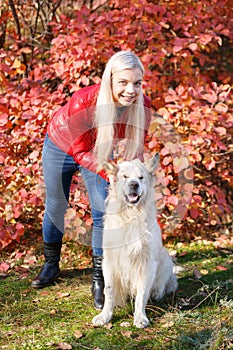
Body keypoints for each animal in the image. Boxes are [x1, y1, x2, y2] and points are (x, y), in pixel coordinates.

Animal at [92, 156, 177, 328]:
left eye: (141, 177)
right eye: (125, 177)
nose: (134, 184)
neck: (130, 215)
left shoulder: (147, 262)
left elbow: (142, 292)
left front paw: (140, 317)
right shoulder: (109, 260)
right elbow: (108, 290)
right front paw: (105, 316)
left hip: (165, 257)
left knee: (165, 283)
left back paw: (157, 293)